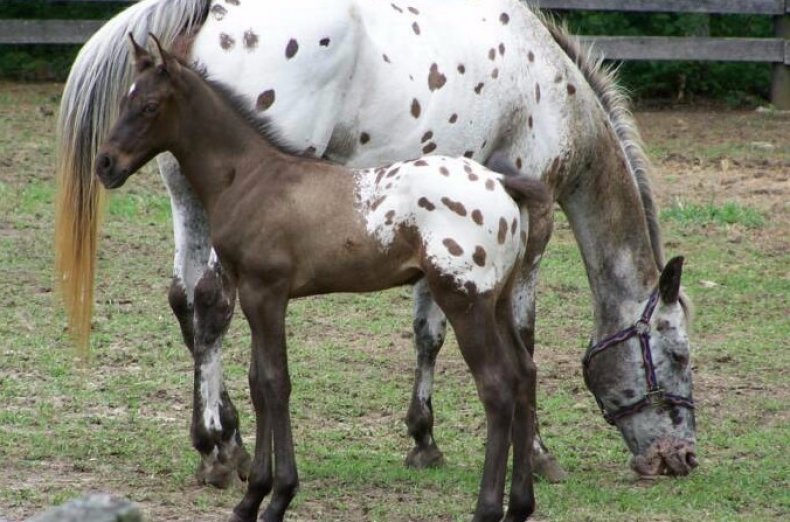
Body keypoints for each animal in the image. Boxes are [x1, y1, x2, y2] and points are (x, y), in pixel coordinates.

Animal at [55, 0, 700, 484]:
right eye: (678, 354)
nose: (681, 458)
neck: (550, 85)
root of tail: (205, 14)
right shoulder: (527, 227)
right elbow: (524, 335)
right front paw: (538, 452)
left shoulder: (446, 240)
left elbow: (427, 332)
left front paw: (423, 437)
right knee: (212, 302)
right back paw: (219, 444)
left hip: (187, 197)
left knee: (186, 300)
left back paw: (223, 443)